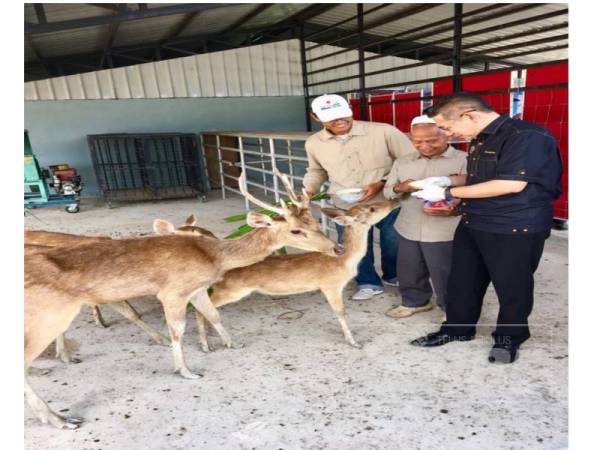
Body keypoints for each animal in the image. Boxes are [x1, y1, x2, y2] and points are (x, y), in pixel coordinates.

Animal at [24, 171, 342, 428]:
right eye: (296, 230)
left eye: (315, 220)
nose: (336, 247)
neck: (213, 258)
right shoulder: (172, 292)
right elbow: (177, 331)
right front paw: (186, 371)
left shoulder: (197, 289)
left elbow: (214, 315)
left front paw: (231, 344)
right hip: (49, 313)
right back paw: (60, 418)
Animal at [190, 200, 400, 352]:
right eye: (372, 208)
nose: (395, 201)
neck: (345, 262)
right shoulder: (330, 285)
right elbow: (341, 312)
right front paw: (354, 342)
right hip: (231, 290)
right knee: (201, 307)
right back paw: (206, 345)